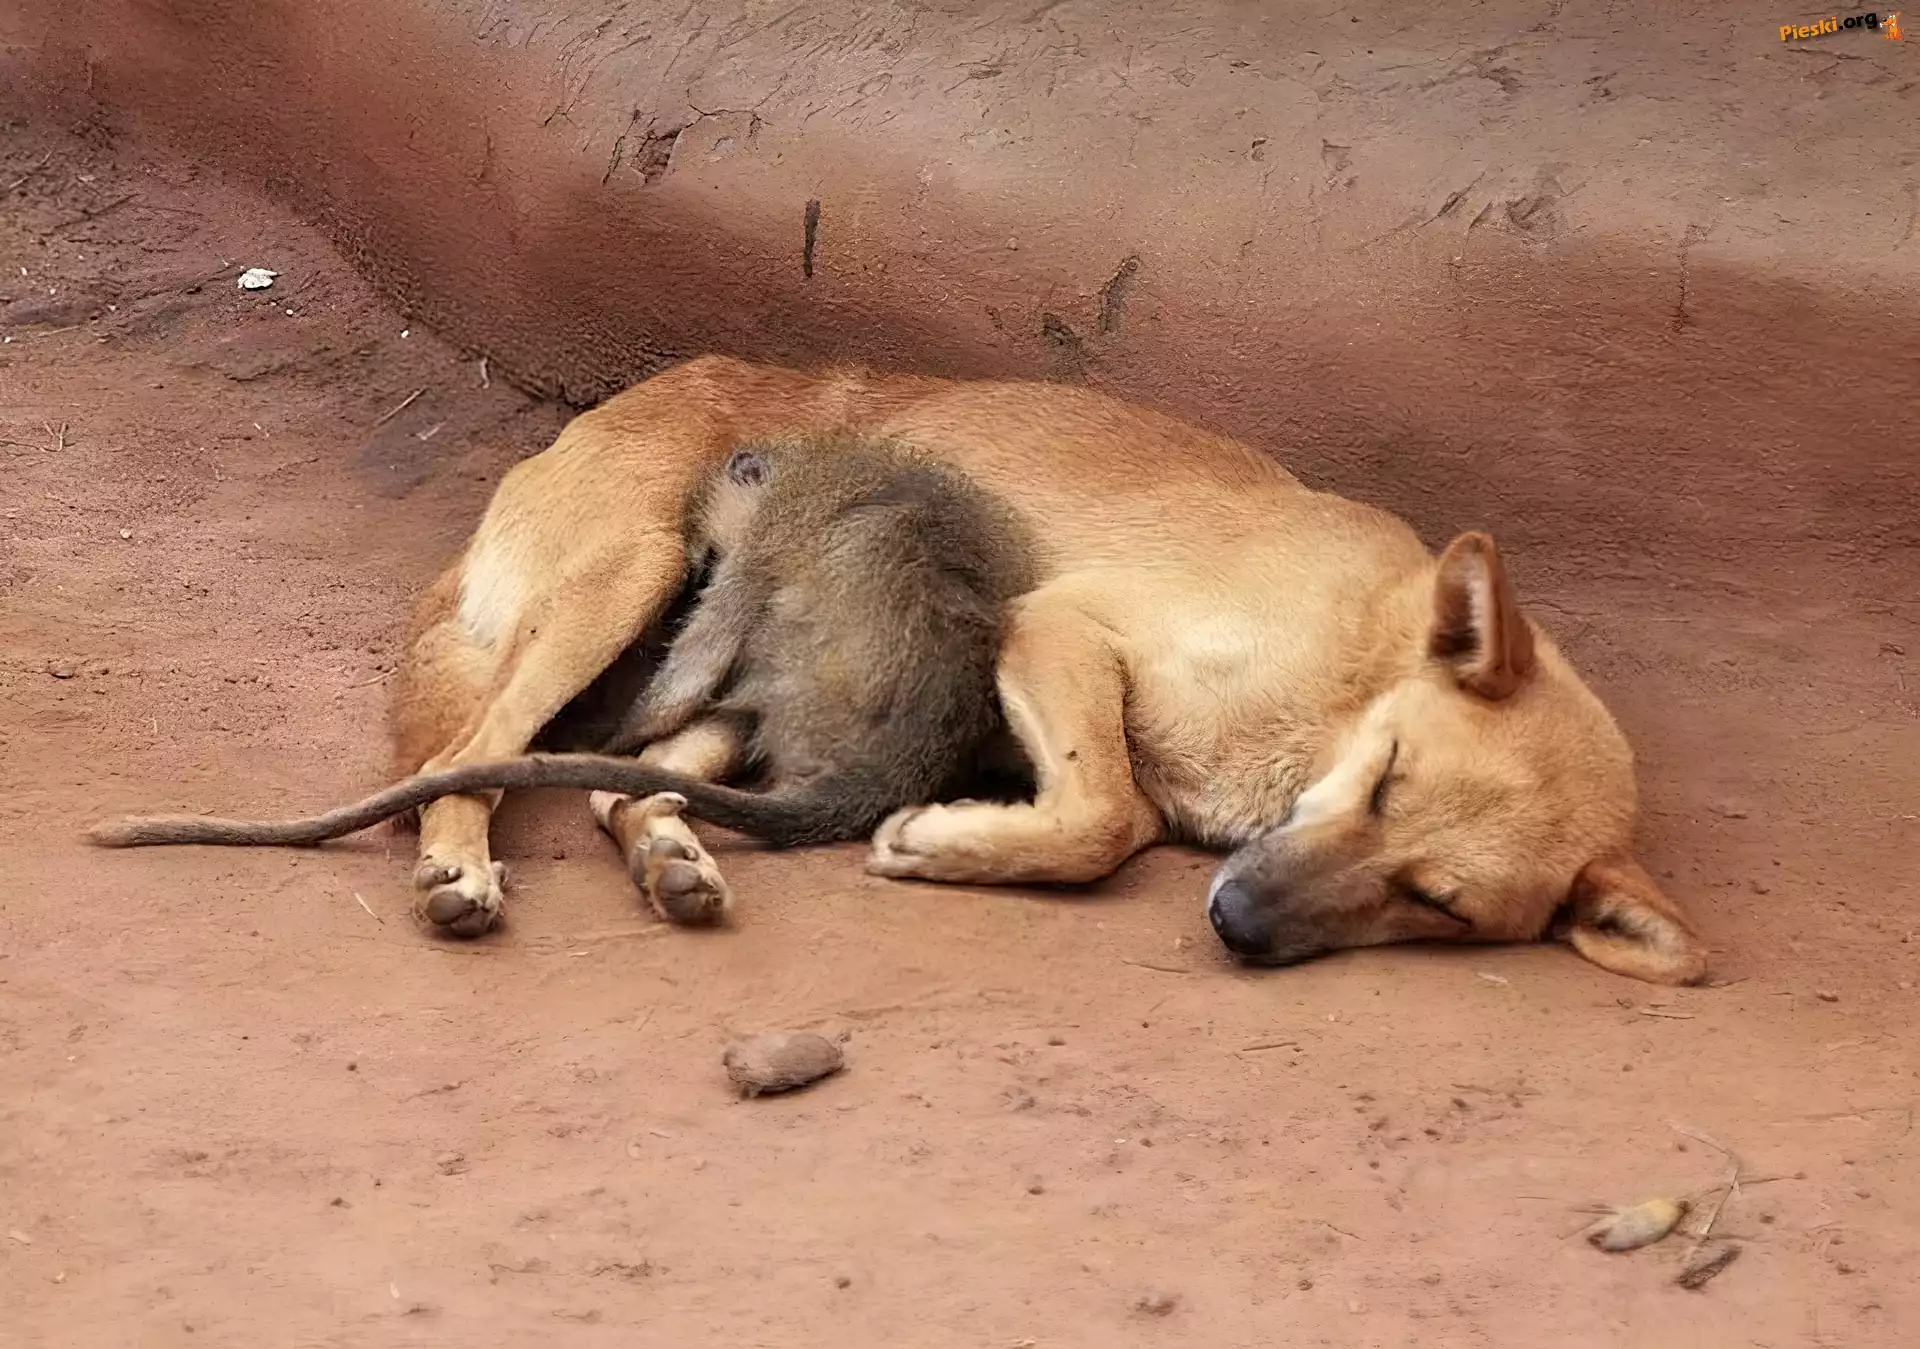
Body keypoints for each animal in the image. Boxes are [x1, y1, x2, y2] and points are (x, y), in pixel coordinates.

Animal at [87, 436, 1041, 857]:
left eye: (711, 556)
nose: (702, 567)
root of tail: (889, 769)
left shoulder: (761, 549)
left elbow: (703, 653)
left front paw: (612, 734)